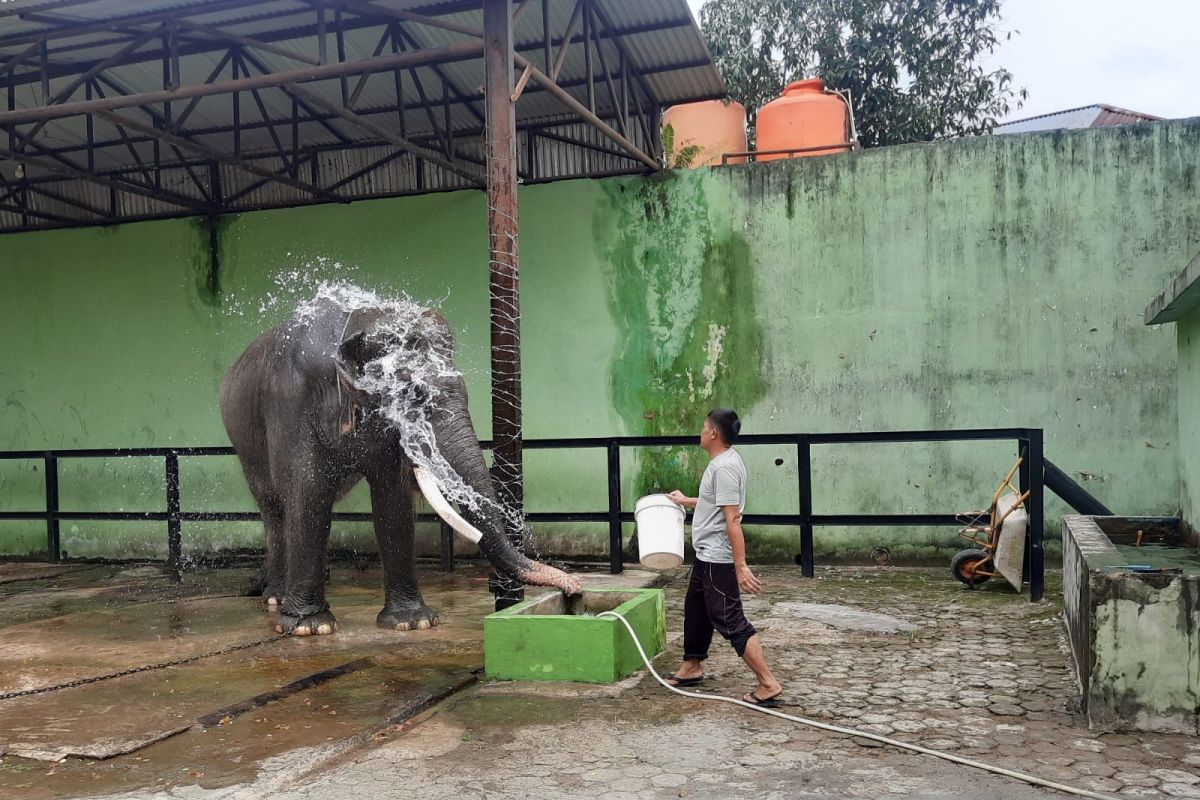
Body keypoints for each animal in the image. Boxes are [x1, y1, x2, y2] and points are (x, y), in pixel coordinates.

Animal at [223, 293, 583, 638]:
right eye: (414, 396)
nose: (576, 592)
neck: (360, 320)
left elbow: (392, 496)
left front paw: (413, 623)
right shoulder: (291, 403)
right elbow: (308, 489)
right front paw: (310, 628)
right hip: (246, 444)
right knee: (274, 507)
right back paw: (275, 597)